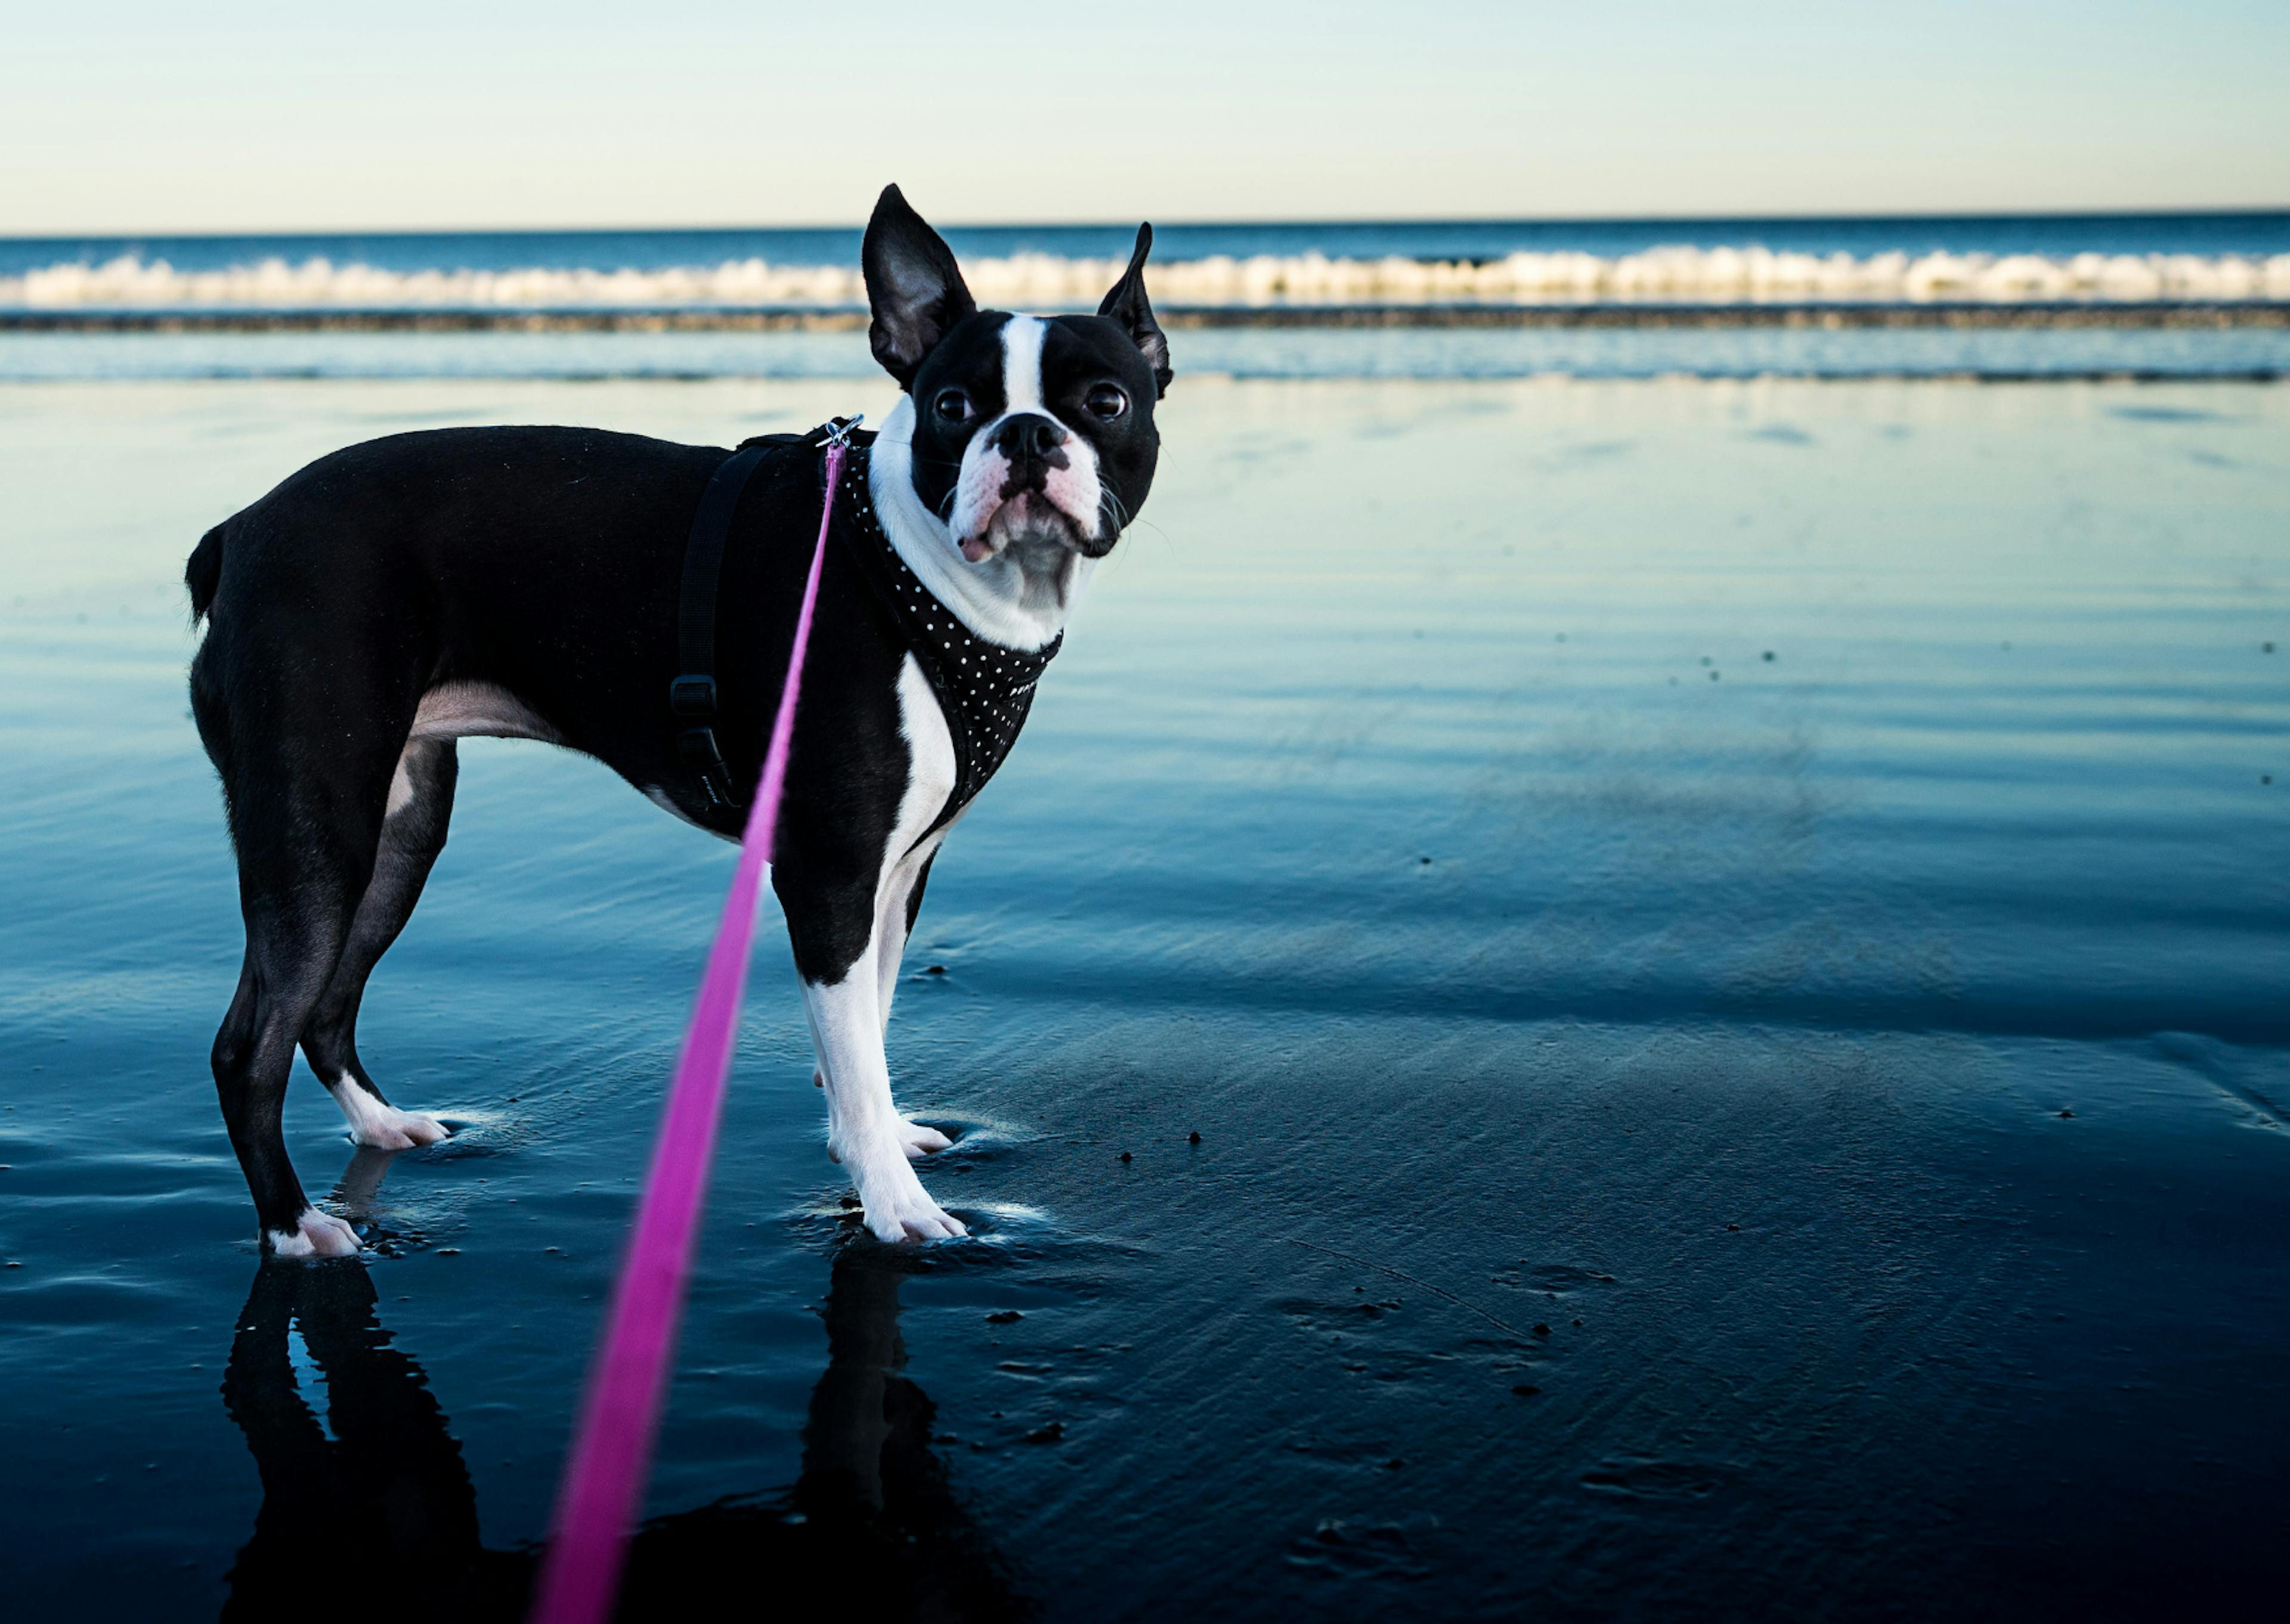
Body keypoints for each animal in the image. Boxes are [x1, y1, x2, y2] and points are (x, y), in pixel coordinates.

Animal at [187, 190, 1172, 1255]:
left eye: (1106, 403)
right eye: (955, 408)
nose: (1027, 436)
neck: (904, 562)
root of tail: (238, 532)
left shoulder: (900, 872)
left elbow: (867, 1031)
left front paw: (876, 1141)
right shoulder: (829, 875)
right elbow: (854, 1043)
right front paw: (897, 1205)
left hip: (400, 825)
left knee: (325, 1007)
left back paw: (384, 1127)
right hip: (317, 825)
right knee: (251, 1044)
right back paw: (296, 1228)